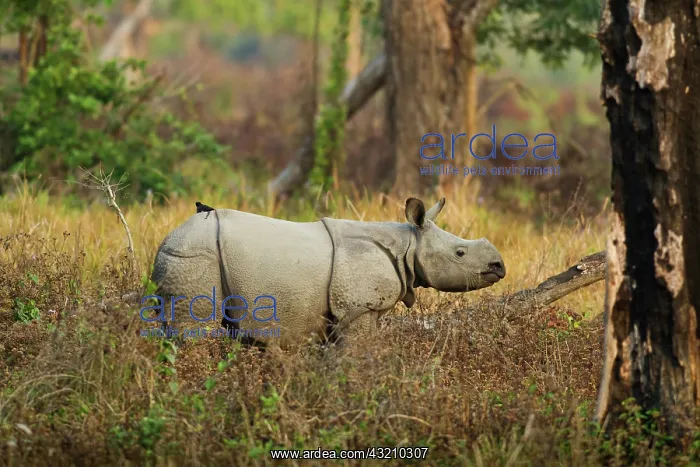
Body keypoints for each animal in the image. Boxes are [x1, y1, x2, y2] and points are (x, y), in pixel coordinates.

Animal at [147, 197, 506, 347]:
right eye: (460, 253)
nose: (499, 266)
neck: (407, 243)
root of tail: (168, 237)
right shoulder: (359, 306)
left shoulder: (347, 311)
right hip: (196, 254)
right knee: (195, 331)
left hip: (187, 253)